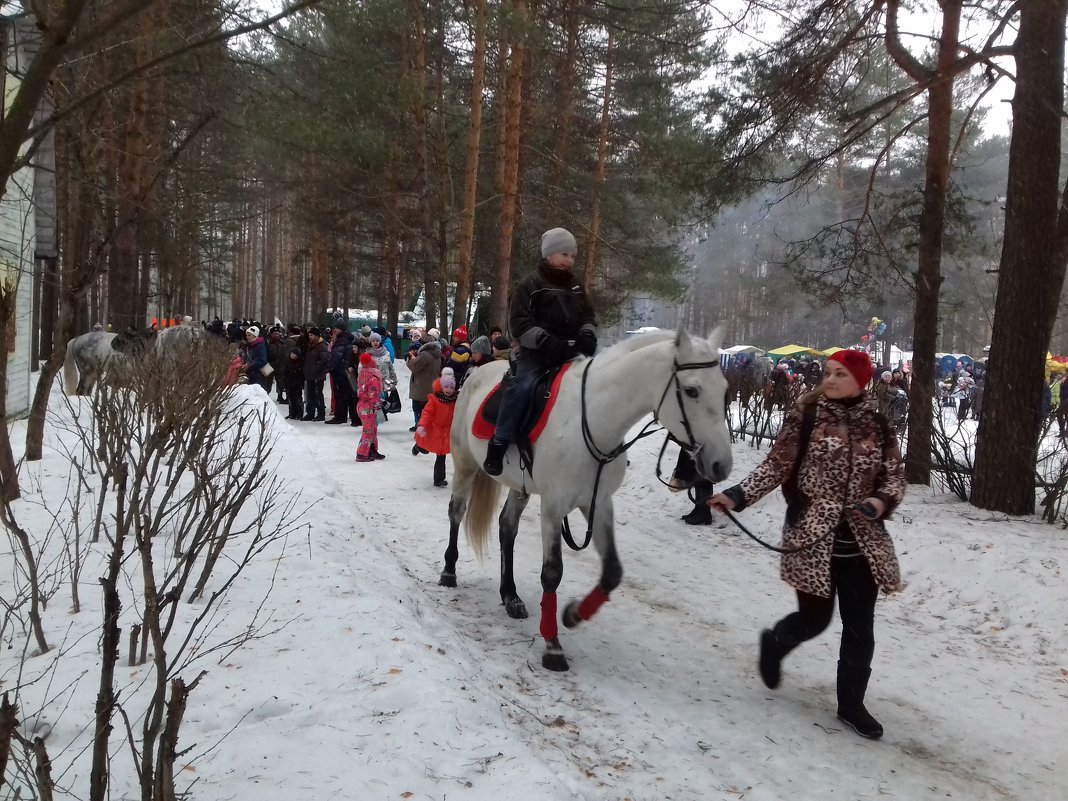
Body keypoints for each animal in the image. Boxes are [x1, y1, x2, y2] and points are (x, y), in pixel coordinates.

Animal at [437, 328, 730, 674]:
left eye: (725, 390)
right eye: (692, 390)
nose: (721, 465)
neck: (593, 422)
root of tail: (477, 372)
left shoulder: (598, 503)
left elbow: (613, 571)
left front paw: (574, 614)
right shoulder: (553, 507)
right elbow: (552, 573)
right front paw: (552, 645)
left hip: (520, 487)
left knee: (507, 528)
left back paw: (510, 595)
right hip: (465, 464)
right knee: (456, 512)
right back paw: (449, 571)